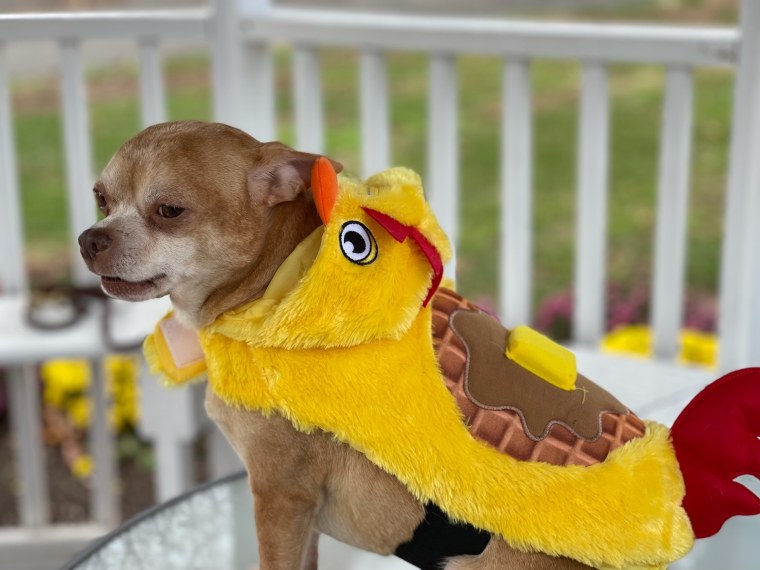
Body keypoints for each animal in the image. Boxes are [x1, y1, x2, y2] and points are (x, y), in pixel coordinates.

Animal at [80, 121, 592, 568]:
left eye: (169, 211)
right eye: (101, 200)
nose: (89, 239)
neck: (276, 280)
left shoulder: (281, 497)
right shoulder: (304, 518)